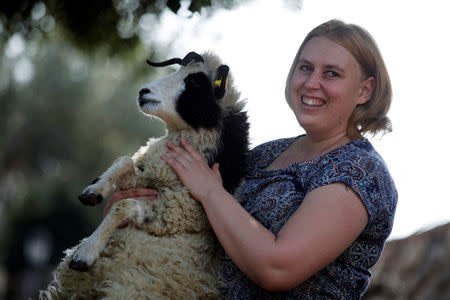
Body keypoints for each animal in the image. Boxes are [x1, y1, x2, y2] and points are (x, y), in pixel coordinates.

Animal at [38, 51, 250, 300]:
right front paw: (93, 191)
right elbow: (125, 161)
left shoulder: (176, 212)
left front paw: (85, 252)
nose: (143, 91)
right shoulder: (145, 180)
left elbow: (123, 205)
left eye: (195, 82)